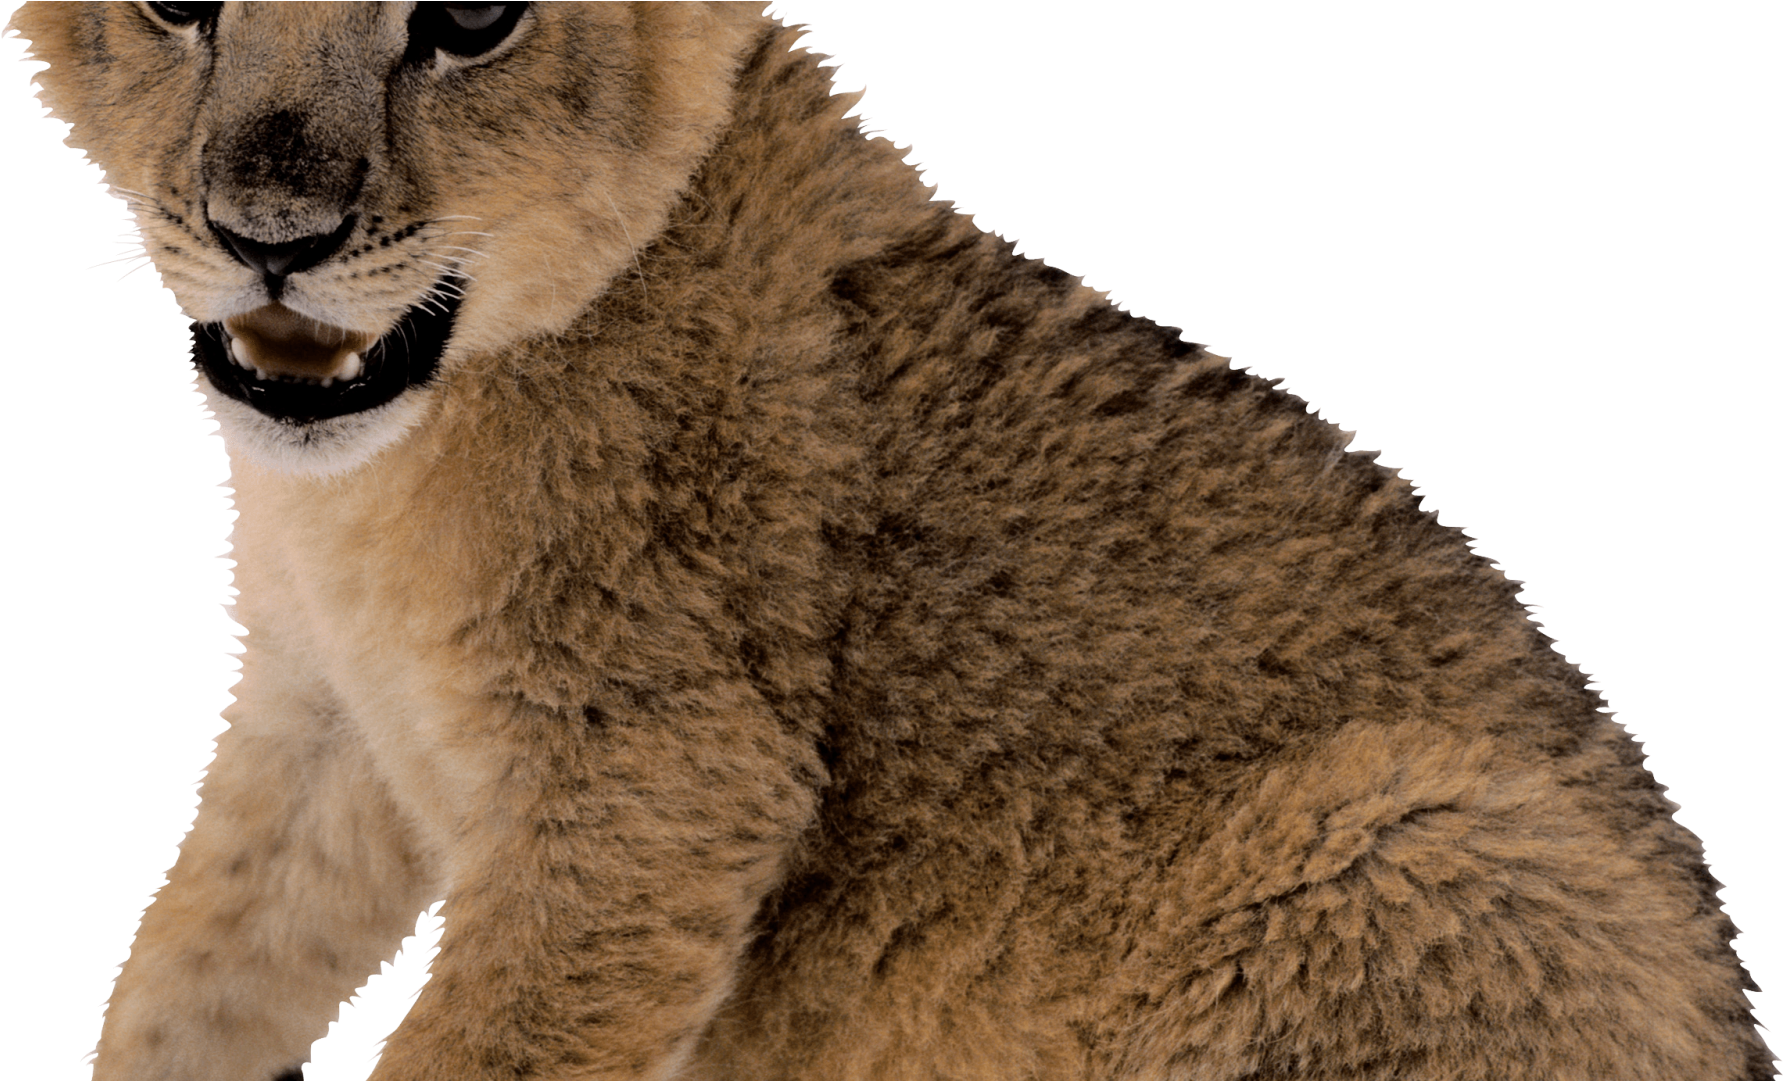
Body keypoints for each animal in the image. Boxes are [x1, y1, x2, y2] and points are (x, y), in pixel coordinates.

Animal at [8, 3, 1770, 1079]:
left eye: (478, 17)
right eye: (176, 0)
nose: (270, 241)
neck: (375, 486)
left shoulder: (664, 780)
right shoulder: (325, 716)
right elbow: (195, 969)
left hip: (1419, 839)